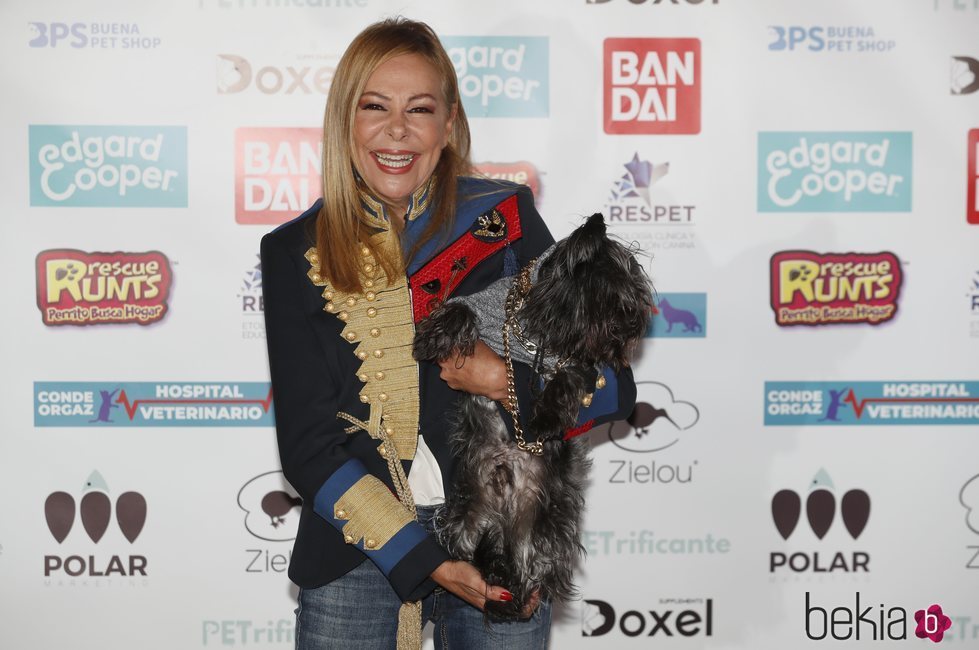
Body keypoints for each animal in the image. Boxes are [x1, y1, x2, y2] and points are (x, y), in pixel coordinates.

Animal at [414, 211, 652, 616]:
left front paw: (545, 417)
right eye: (613, 284)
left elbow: (567, 378)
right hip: (464, 518)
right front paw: (436, 336)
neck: (536, 326)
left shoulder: (579, 363)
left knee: (532, 565)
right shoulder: (481, 304)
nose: (635, 323)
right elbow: (460, 307)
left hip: (547, 522)